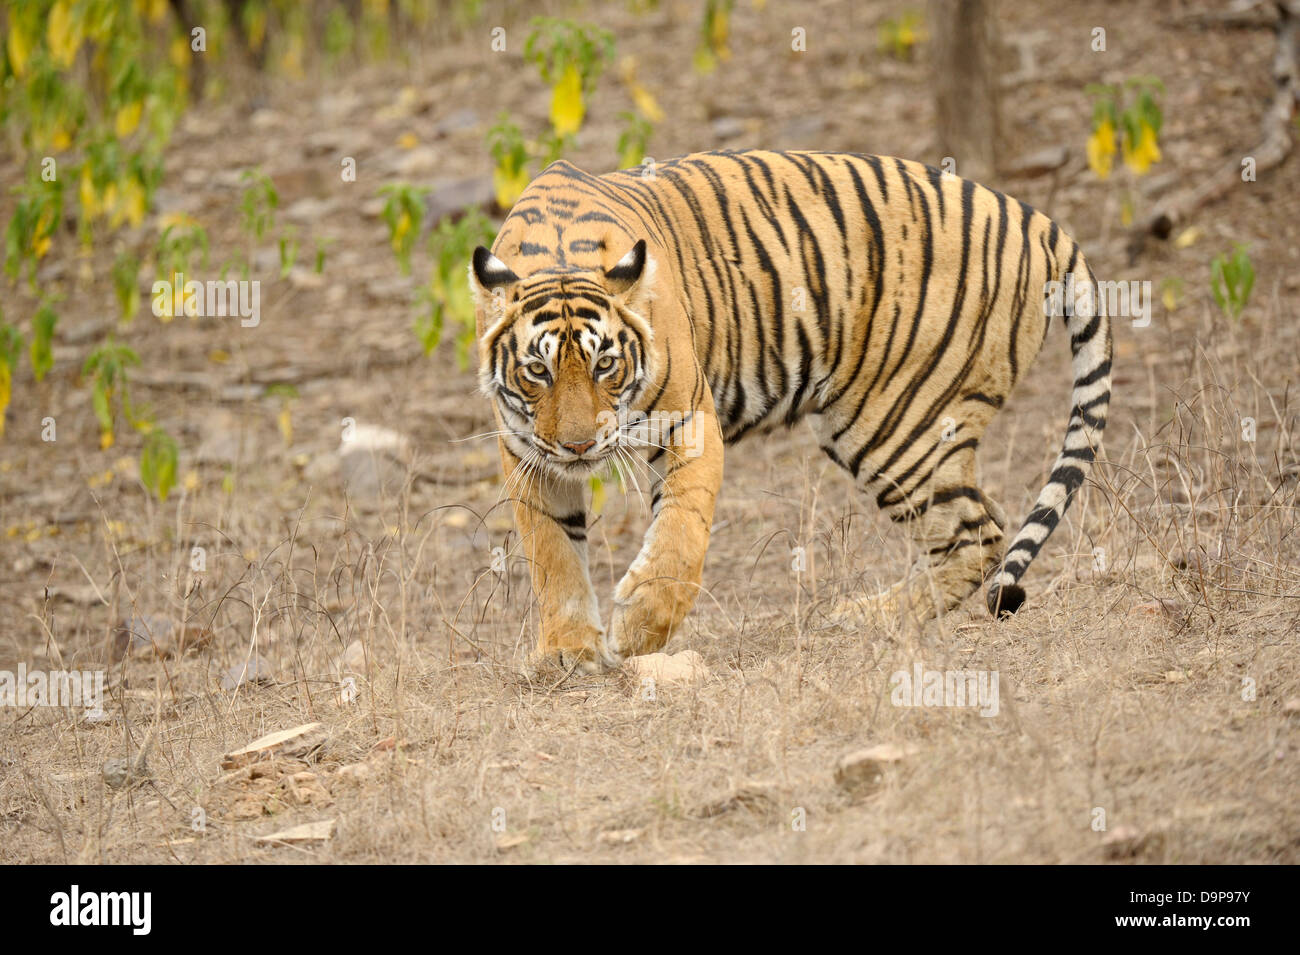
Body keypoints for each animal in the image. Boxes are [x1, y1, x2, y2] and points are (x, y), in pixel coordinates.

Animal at [473, 149, 1112, 670]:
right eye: (537, 371)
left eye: (605, 364)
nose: (579, 447)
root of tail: (1029, 216)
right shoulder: (526, 451)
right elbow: (553, 551)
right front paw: (569, 652)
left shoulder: (689, 421)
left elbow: (680, 534)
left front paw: (636, 630)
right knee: (979, 529)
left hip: (893, 426)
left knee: (977, 533)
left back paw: (863, 616)